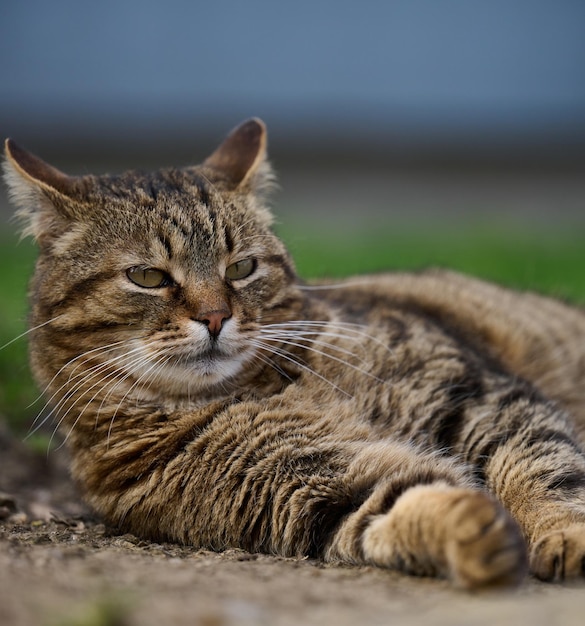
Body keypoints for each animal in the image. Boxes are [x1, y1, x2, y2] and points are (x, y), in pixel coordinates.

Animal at [3, 118, 584, 588]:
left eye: (242, 268)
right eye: (147, 276)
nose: (215, 318)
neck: (266, 387)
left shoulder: (475, 394)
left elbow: (540, 466)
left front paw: (563, 531)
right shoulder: (312, 487)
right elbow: (396, 504)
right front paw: (468, 532)